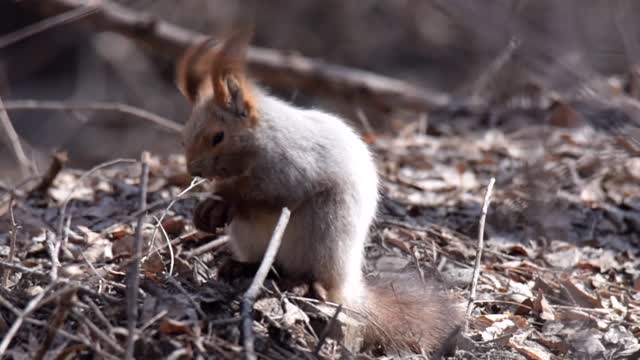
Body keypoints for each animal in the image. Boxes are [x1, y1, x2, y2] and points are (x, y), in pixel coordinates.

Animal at [175, 30, 464, 354]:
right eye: (184, 137)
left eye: (218, 136)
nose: (194, 170)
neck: (263, 138)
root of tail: (348, 285)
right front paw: (206, 210)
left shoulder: (292, 167)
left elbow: (267, 192)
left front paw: (220, 199)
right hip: (254, 238)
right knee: (270, 265)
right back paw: (242, 267)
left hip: (324, 230)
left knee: (315, 279)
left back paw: (302, 284)